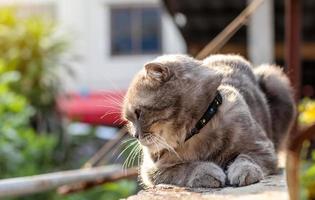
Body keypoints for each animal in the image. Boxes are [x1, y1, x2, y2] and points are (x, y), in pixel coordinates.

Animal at [123, 54, 296, 188]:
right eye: (129, 121)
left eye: (138, 113)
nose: (135, 135)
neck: (198, 128)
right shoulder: (153, 170)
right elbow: (186, 167)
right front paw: (207, 172)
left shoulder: (262, 149)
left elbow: (245, 158)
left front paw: (243, 171)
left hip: (274, 81)